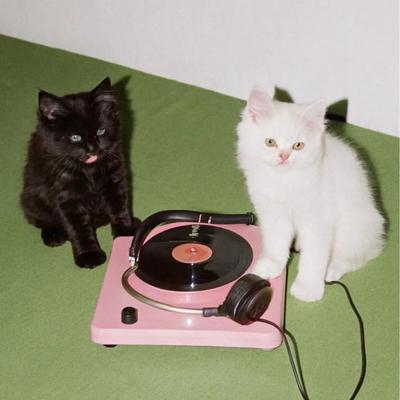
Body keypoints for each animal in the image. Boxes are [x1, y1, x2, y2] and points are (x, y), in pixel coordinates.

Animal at [21, 78, 134, 269]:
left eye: (100, 131)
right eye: (75, 137)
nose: (93, 149)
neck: (89, 170)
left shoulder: (115, 178)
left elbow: (120, 209)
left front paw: (127, 233)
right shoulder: (67, 195)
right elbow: (79, 228)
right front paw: (89, 255)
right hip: (31, 199)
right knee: (41, 220)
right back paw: (53, 234)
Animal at [236, 88, 385, 301]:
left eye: (298, 146)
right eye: (270, 142)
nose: (284, 156)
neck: (284, 181)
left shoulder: (318, 221)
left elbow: (314, 257)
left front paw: (307, 288)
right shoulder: (272, 214)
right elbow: (276, 243)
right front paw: (271, 266)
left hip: (354, 227)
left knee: (354, 256)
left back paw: (331, 270)